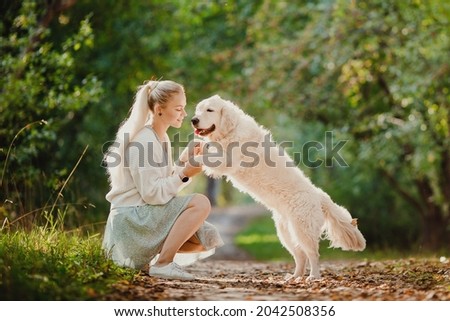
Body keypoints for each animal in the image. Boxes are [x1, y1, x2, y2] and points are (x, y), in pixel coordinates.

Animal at [190, 94, 366, 280]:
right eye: (198, 110)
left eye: (209, 110)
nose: (193, 120)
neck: (231, 130)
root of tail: (319, 196)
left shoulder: (228, 160)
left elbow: (208, 158)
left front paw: (193, 158)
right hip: (285, 233)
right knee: (300, 256)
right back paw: (294, 277)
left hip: (303, 230)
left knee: (313, 254)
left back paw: (313, 276)